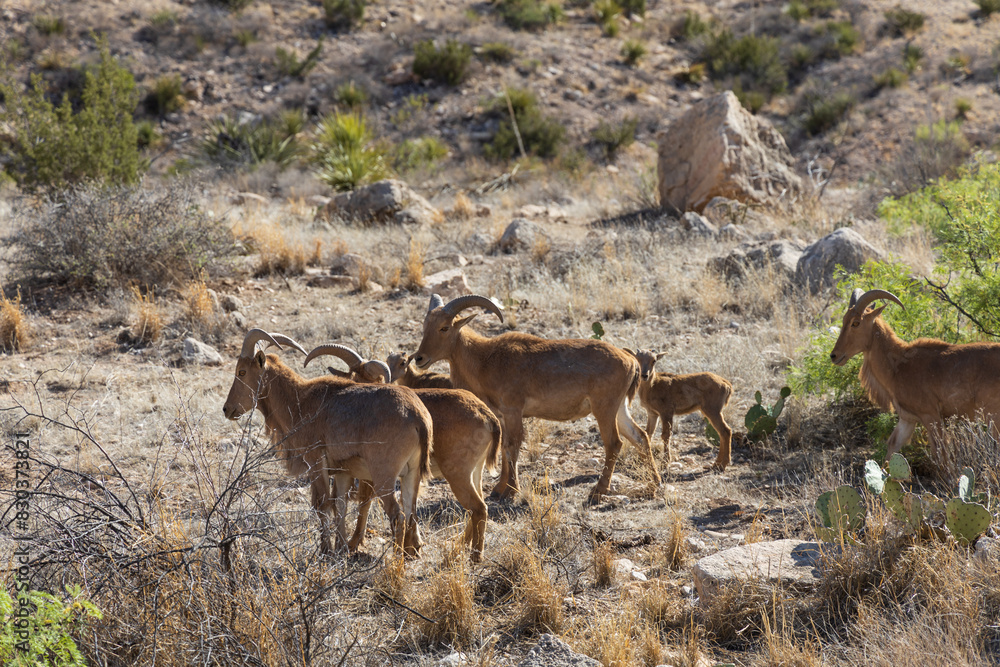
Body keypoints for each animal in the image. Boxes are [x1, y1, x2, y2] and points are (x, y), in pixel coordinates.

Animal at [223, 329, 433, 557]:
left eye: (242, 372)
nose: (227, 409)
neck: (299, 402)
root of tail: (417, 416)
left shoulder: (316, 462)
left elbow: (322, 505)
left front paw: (326, 551)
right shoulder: (342, 471)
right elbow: (339, 505)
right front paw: (341, 548)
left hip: (384, 475)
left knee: (397, 514)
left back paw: (395, 561)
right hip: (412, 473)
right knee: (410, 510)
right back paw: (410, 551)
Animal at [305, 344, 501, 561]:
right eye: (355, 377)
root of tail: (487, 415)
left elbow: (365, 502)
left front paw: (355, 543)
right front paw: (412, 546)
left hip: (458, 473)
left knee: (478, 507)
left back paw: (473, 555)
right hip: (475, 471)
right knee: (479, 506)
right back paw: (462, 544)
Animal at [412, 293, 659, 502]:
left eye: (444, 328)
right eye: (425, 327)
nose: (420, 358)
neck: (485, 359)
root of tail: (630, 361)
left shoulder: (513, 410)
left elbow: (512, 446)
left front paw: (511, 491)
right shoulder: (502, 416)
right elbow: (504, 448)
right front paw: (499, 489)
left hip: (604, 408)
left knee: (614, 443)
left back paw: (599, 491)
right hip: (619, 408)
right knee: (640, 436)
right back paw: (654, 483)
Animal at [829, 288, 1000, 467]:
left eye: (856, 322)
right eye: (844, 320)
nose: (834, 356)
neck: (898, 366)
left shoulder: (930, 416)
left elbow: (942, 455)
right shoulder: (907, 419)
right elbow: (893, 445)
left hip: (992, 414)